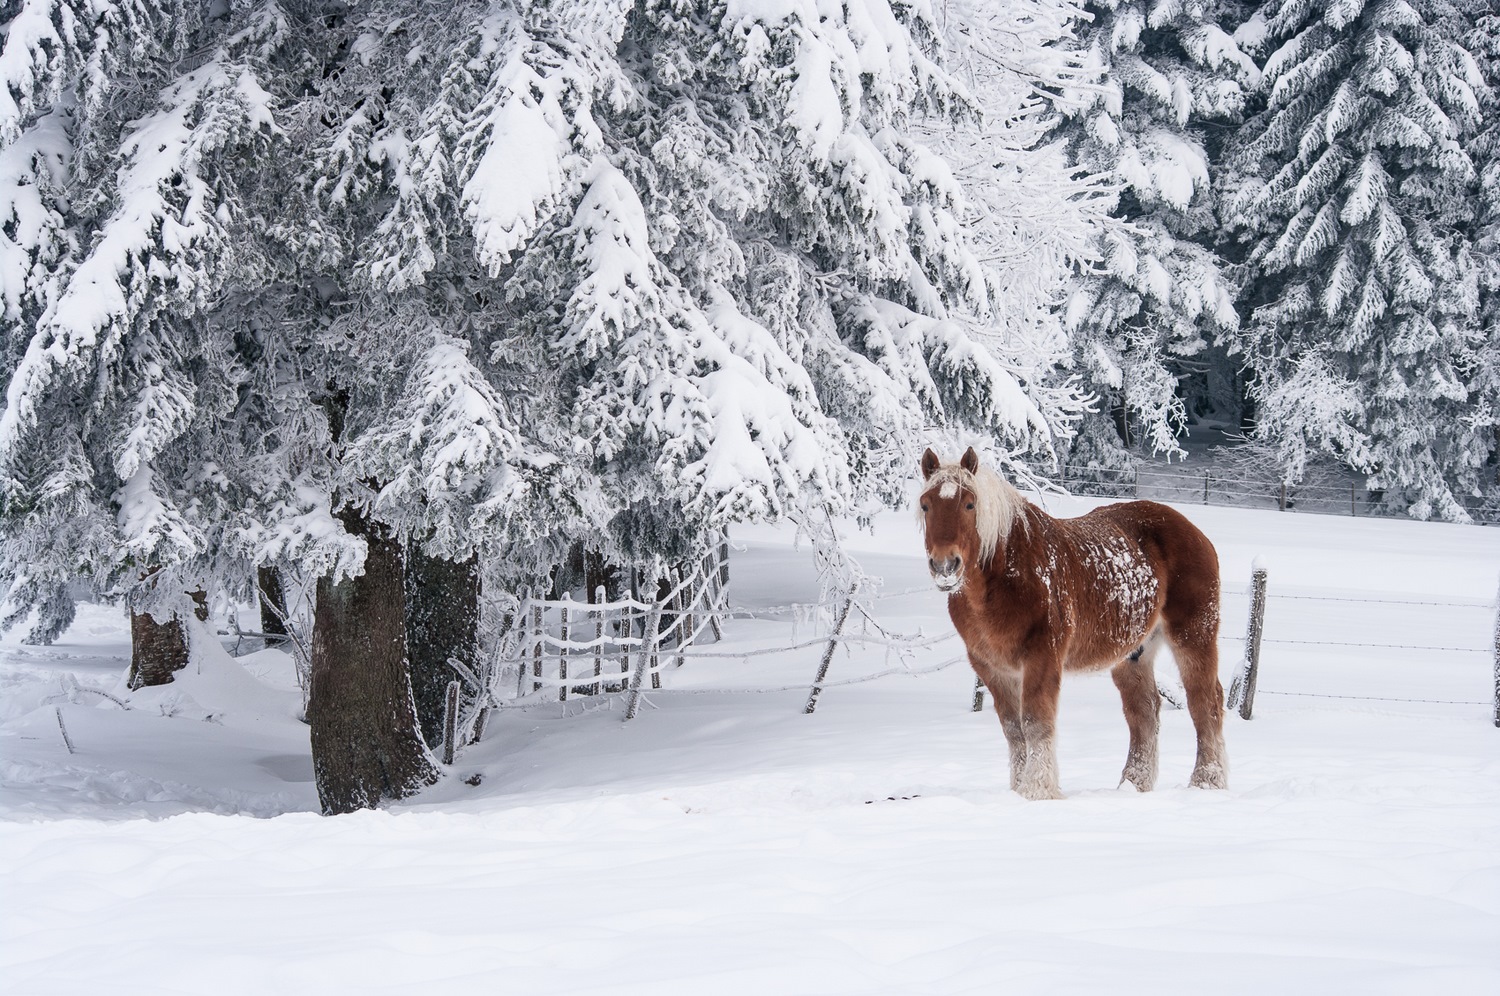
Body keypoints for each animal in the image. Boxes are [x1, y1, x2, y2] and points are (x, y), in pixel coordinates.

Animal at [912, 450, 1230, 804]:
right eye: (926, 504)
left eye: (969, 504)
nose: (945, 565)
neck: (1009, 576)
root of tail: (1193, 531)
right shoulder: (991, 666)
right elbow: (1013, 729)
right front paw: (1019, 788)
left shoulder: (1042, 658)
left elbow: (1036, 722)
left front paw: (1038, 790)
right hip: (1134, 655)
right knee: (1144, 712)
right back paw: (1133, 785)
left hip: (1193, 637)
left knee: (1205, 704)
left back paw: (1207, 782)